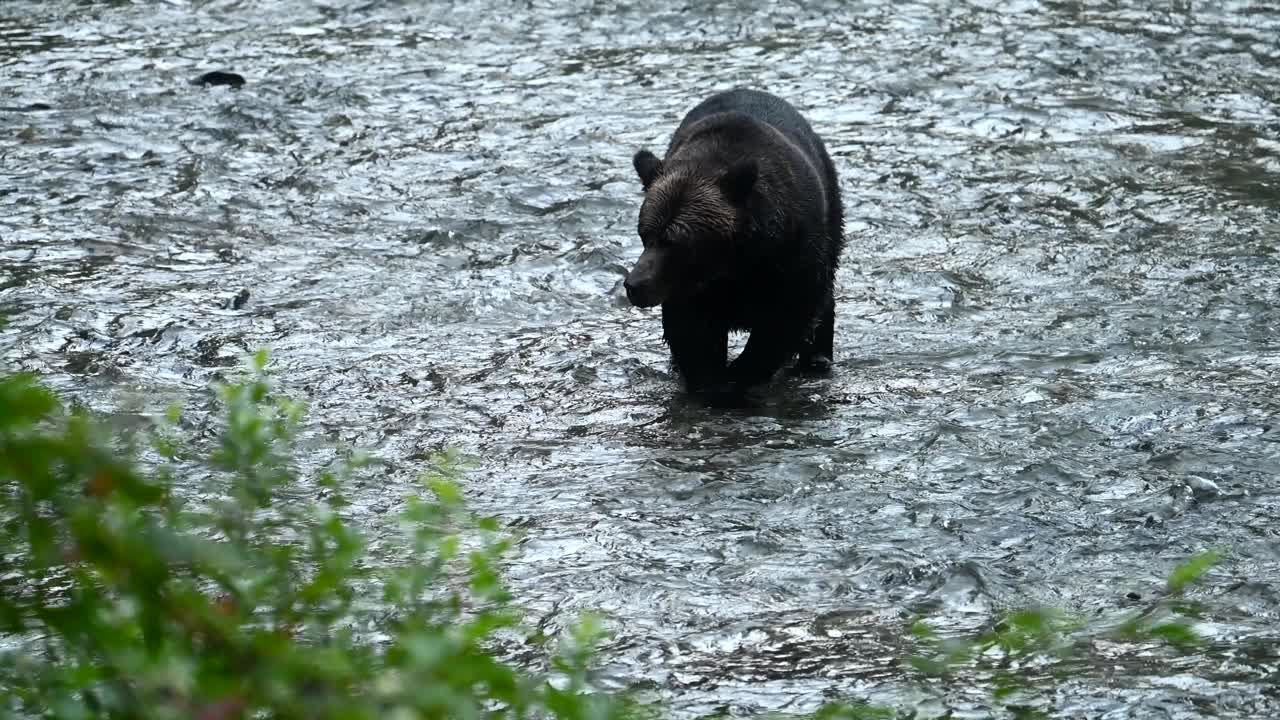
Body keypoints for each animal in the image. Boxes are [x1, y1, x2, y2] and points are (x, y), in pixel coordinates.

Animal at [624, 87, 844, 394]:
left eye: (675, 241)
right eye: (645, 234)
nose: (634, 285)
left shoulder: (790, 257)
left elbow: (786, 318)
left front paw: (741, 374)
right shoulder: (690, 289)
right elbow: (691, 332)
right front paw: (710, 378)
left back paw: (818, 359)